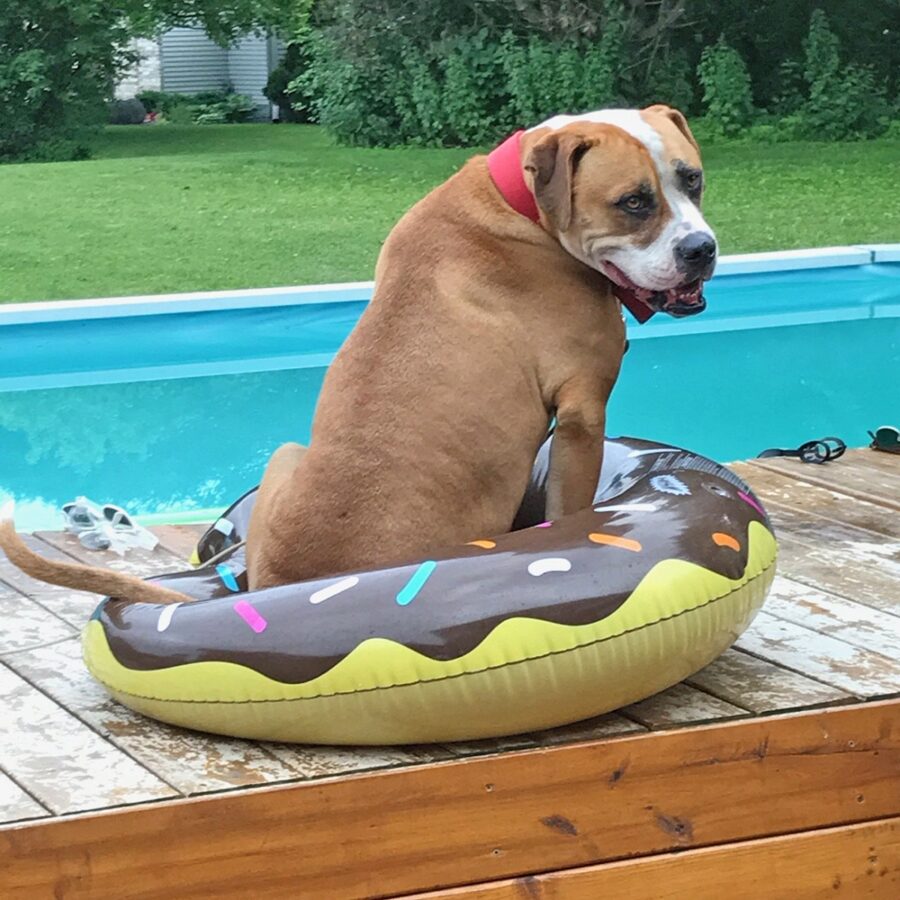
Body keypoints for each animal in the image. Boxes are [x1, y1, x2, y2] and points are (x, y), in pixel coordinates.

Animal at [0, 105, 716, 600]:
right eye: (633, 203)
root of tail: (289, 587)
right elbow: (573, 510)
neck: (524, 206)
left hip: (286, 455)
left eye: (694, 181)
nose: (701, 248)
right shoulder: (581, 414)